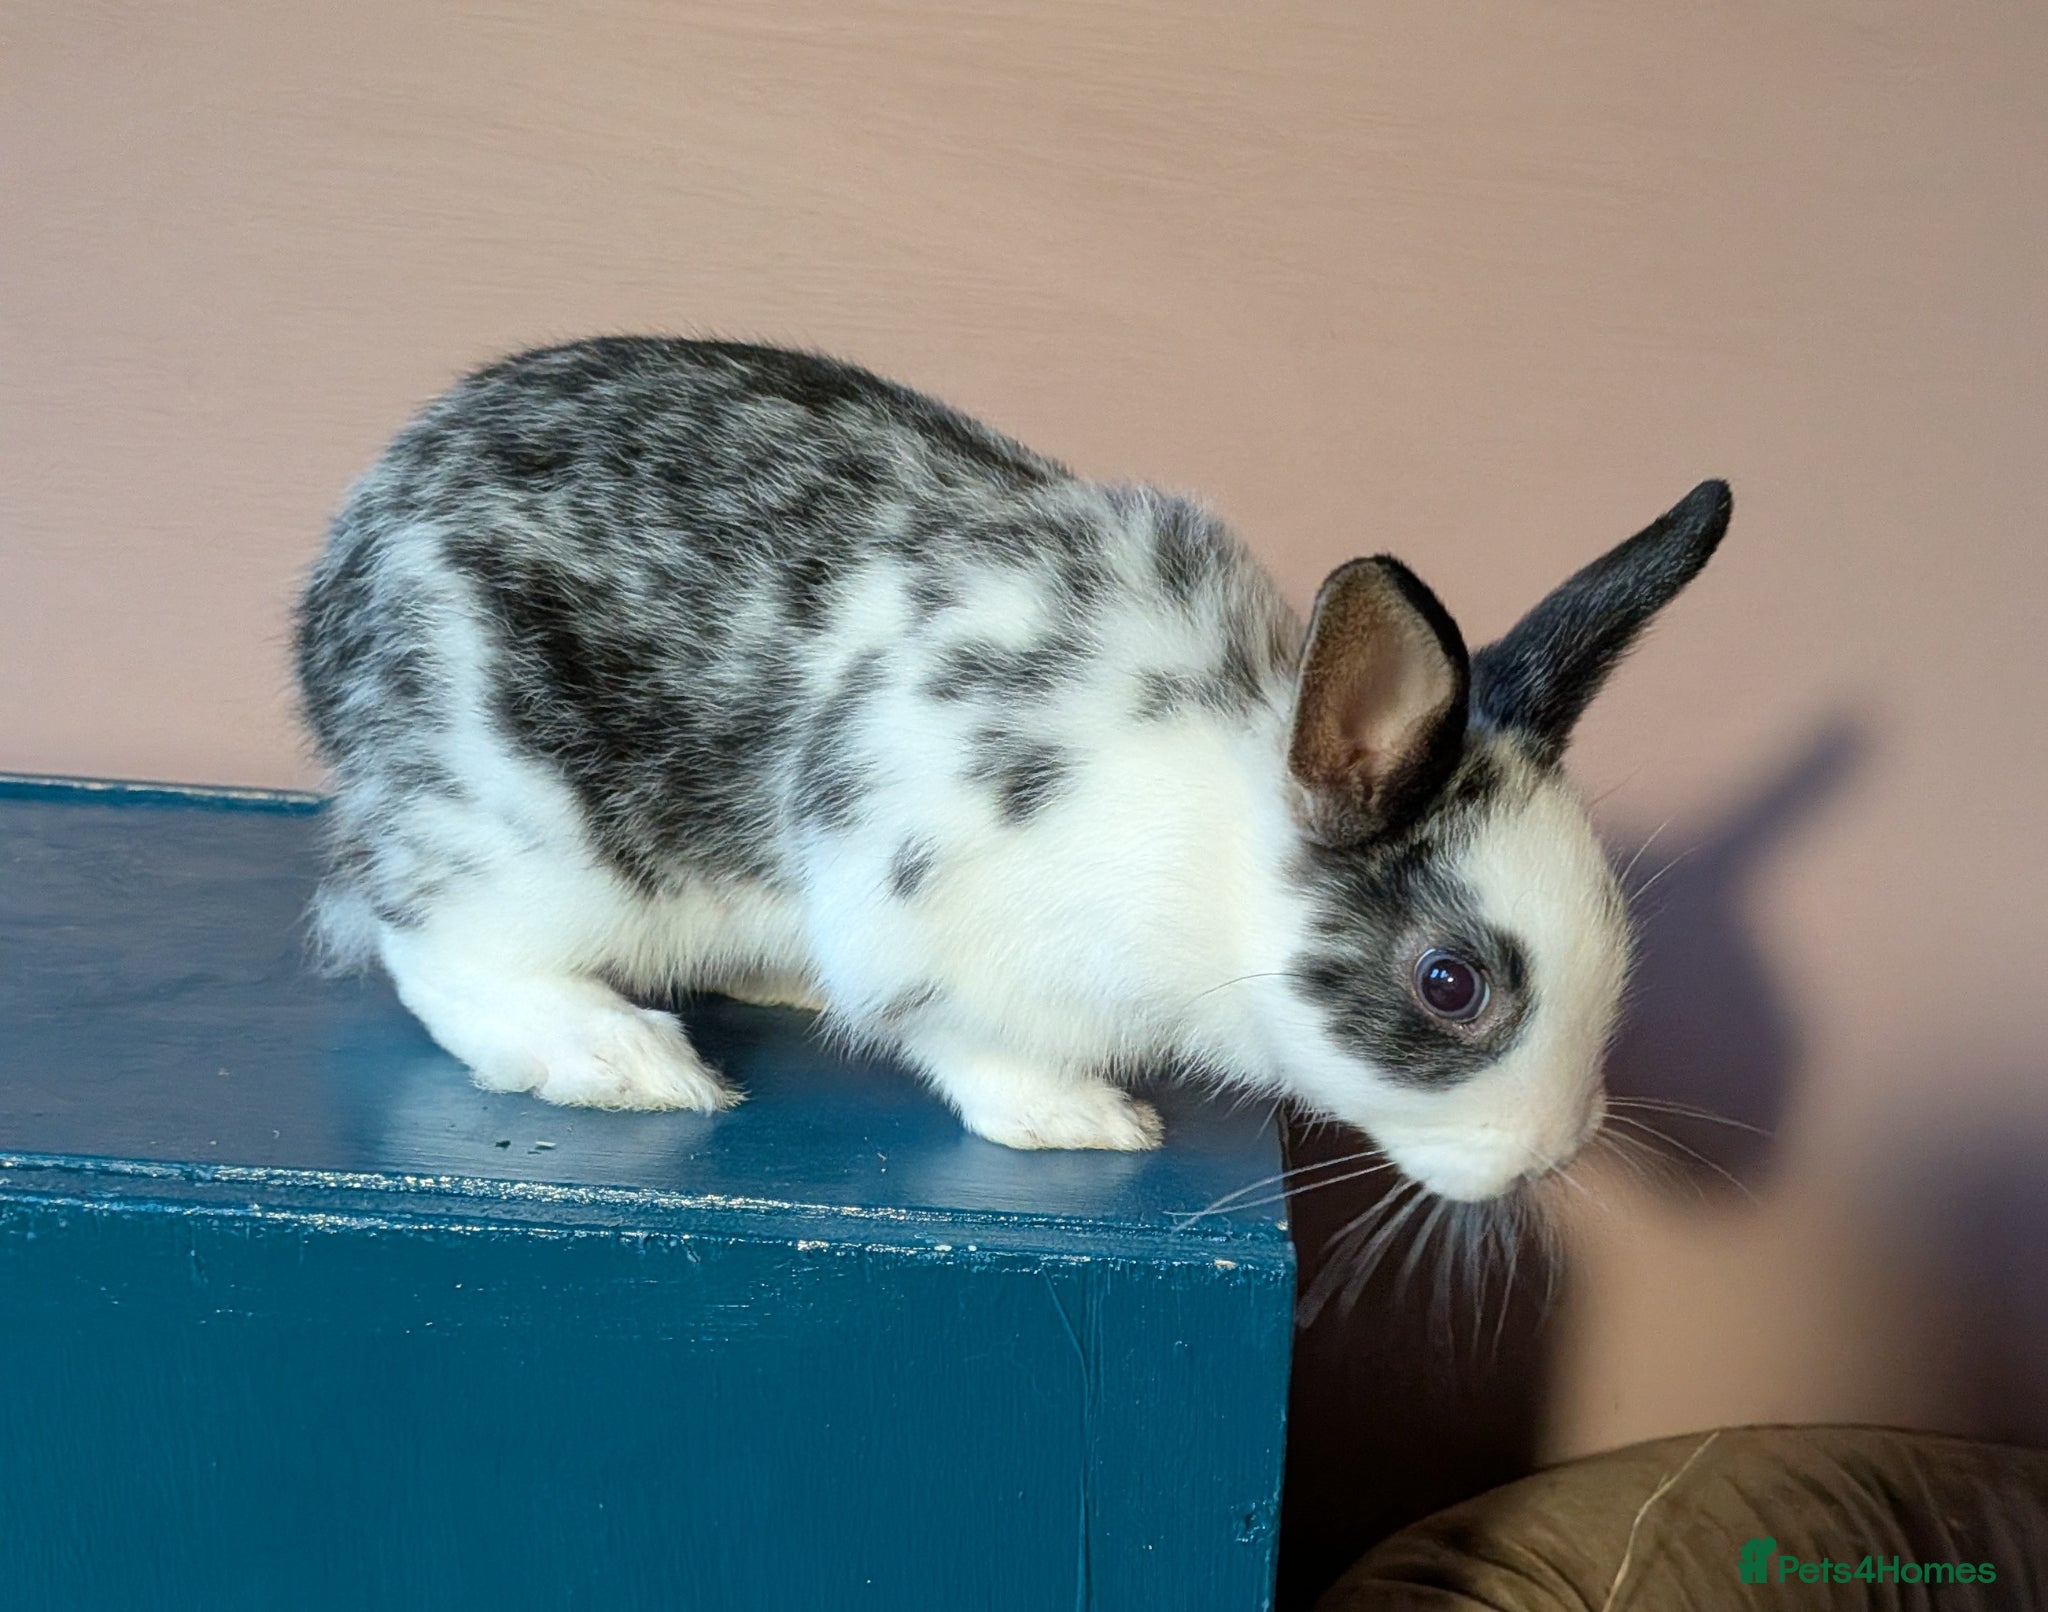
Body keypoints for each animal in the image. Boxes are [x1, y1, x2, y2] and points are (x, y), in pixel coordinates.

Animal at [295, 336, 1730, 1201]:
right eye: (1450, 984)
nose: (1553, 1152)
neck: (1207, 851)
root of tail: (336, 586)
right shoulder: (926, 917)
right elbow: (973, 1047)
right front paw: (1088, 1121)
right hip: (516, 832)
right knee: (435, 948)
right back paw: (616, 1056)